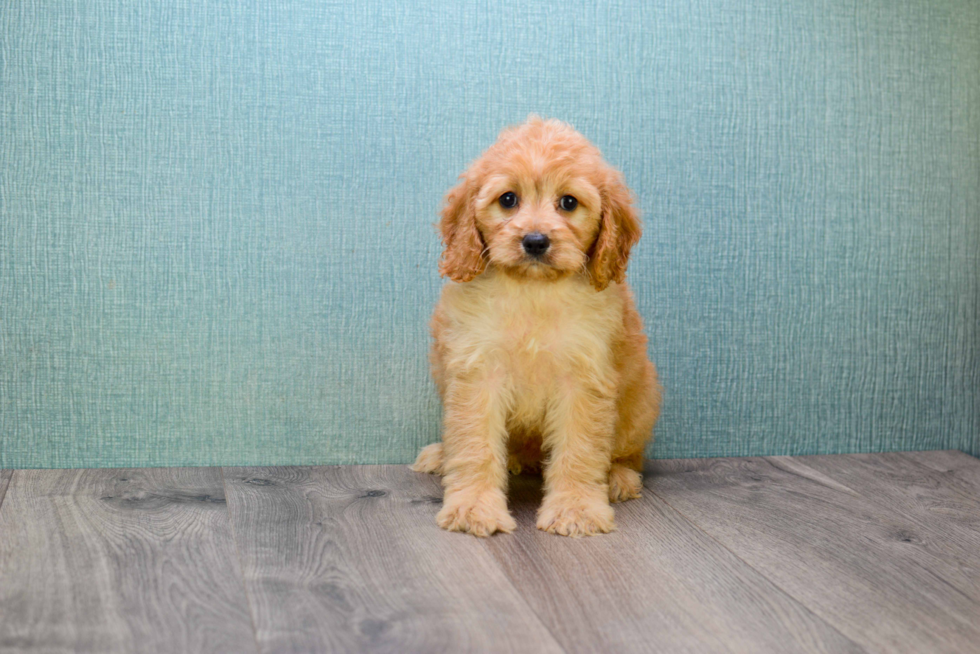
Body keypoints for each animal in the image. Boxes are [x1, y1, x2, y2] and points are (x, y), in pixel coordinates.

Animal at [410, 116, 664, 540]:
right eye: (508, 199)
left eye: (569, 203)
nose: (535, 241)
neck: (532, 291)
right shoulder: (477, 373)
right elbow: (475, 445)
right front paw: (473, 507)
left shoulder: (584, 379)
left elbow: (580, 449)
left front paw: (576, 508)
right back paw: (443, 456)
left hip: (639, 404)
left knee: (629, 455)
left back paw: (618, 478)